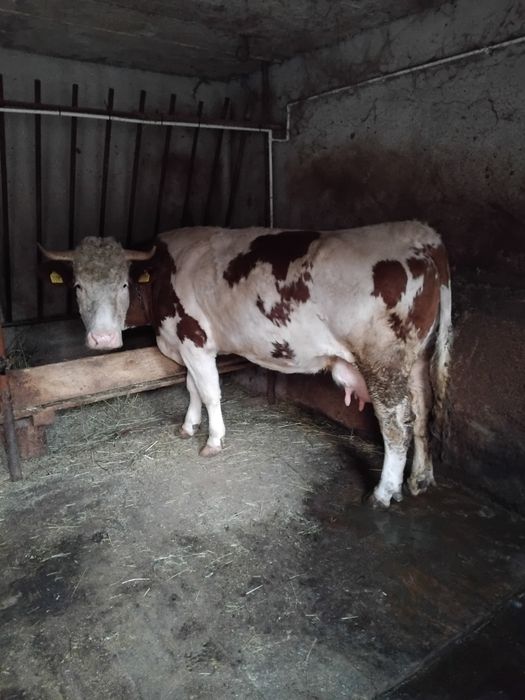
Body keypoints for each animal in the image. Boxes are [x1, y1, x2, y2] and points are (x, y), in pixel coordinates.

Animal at [41, 221, 452, 508]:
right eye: (78, 286)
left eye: (123, 285)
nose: (103, 339)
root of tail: (421, 234)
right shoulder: (182, 343)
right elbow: (191, 387)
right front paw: (189, 426)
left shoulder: (194, 338)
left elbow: (209, 391)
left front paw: (213, 440)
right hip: (417, 360)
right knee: (422, 412)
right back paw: (420, 480)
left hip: (383, 362)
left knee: (395, 425)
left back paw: (384, 493)